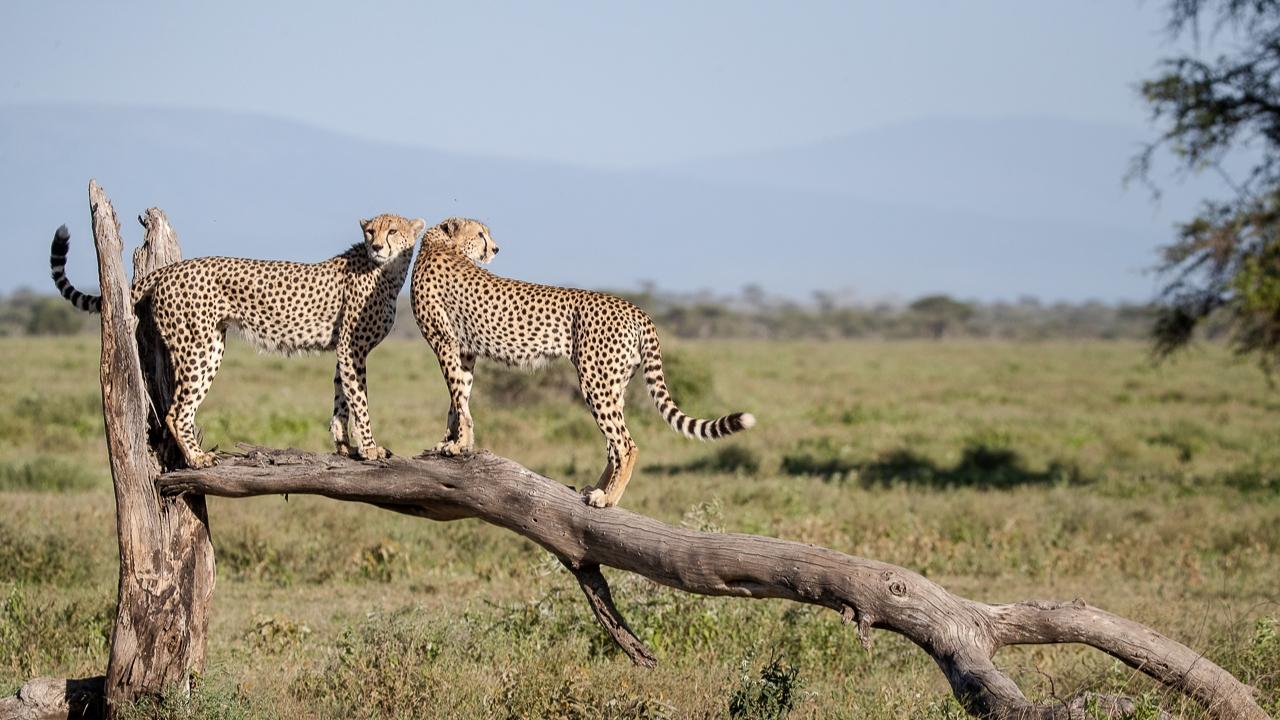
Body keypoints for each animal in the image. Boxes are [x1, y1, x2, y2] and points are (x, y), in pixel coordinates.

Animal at [49, 212, 422, 468]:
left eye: (393, 230)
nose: (377, 246)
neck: (388, 271)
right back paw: (197, 459)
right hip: (199, 347)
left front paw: (344, 445)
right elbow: (360, 399)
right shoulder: (352, 349)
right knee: (176, 411)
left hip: (209, 346)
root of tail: (172, 268)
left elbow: (342, 398)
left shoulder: (344, 351)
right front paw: (371, 447)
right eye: (371, 231)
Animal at [409, 215, 752, 507]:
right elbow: (459, 399)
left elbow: (457, 397)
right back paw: (597, 489)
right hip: (614, 382)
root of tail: (635, 308)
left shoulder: (445, 343)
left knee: (625, 444)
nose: (495, 248)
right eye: (480, 233)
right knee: (614, 445)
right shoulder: (463, 351)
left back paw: (608, 499)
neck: (439, 243)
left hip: (594, 381)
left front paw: (458, 445)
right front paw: (450, 443)